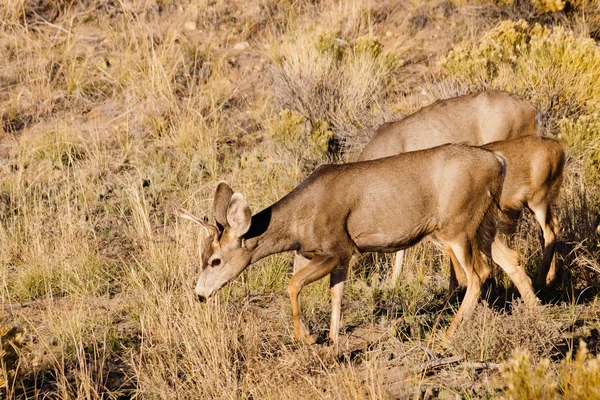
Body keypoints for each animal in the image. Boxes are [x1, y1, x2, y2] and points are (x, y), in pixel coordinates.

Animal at [178, 145, 540, 346]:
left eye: (215, 260)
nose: (199, 295)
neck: (297, 224)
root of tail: (498, 160)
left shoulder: (337, 248)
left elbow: (293, 284)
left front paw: (307, 337)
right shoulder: (331, 256)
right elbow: (335, 294)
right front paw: (332, 340)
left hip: (457, 224)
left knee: (477, 275)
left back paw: (447, 337)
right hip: (482, 221)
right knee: (510, 258)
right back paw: (536, 313)